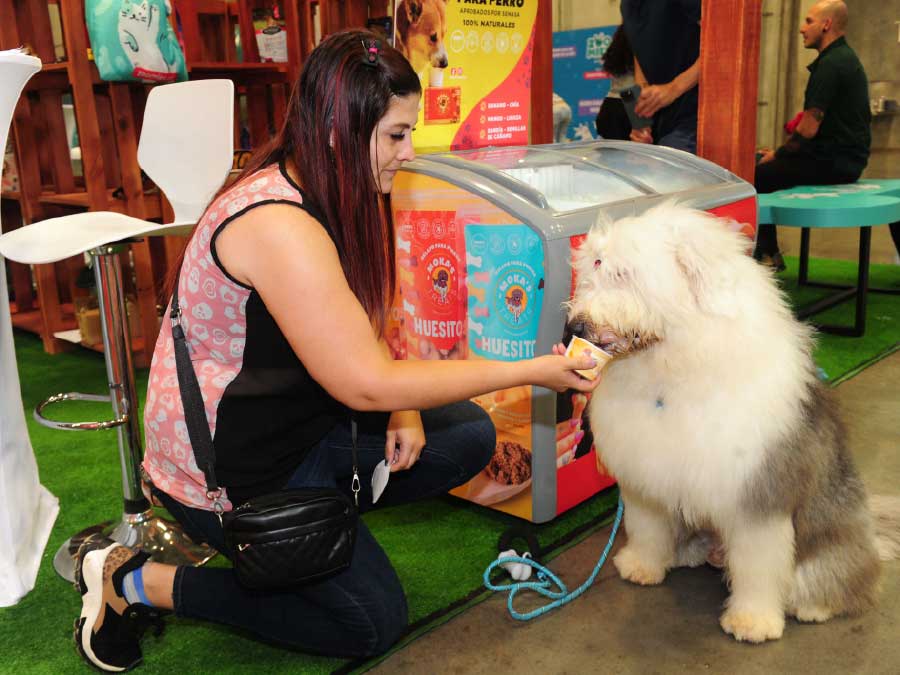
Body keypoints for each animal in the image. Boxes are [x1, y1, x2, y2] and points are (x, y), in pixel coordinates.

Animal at [564, 203, 898, 643]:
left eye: (624, 274)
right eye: (592, 272)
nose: (575, 327)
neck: (674, 369)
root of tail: (871, 532)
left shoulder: (757, 496)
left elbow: (758, 566)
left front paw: (752, 621)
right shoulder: (646, 477)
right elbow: (648, 526)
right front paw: (641, 566)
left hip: (832, 534)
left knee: (844, 577)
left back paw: (815, 605)